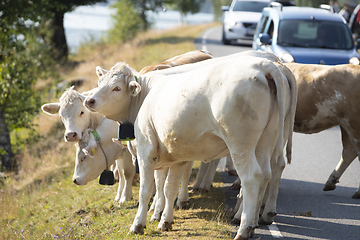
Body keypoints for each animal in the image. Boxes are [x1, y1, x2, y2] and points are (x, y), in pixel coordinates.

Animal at [83, 49, 296, 239]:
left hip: (240, 144)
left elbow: (146, 190)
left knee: (252, 176)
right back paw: (250, 221)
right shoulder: (175, 156)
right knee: (266, 174)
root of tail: (266, 65)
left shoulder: (146, 152)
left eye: (117, 88)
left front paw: (138, 224)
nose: (89, 100)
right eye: (100, 82)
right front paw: (165, 221)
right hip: (265, 142)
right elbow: (168, 188)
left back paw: (244, 228)